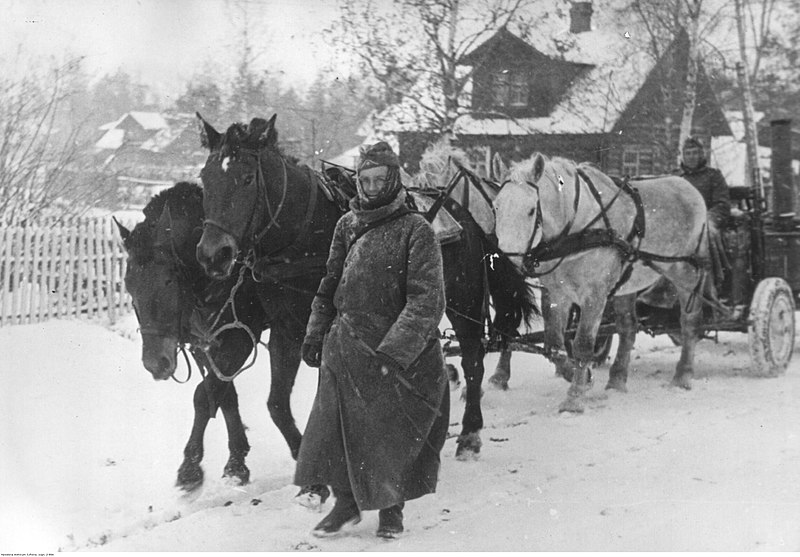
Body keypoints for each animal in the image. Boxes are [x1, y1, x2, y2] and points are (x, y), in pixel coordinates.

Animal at [194, 113, 536, 456]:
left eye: (248, 178)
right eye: (205, 180)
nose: (213, 254)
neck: (301, 237)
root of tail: (464, 214)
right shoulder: (287, 331)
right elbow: (277, 403)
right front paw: (301, 450)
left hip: (466, 302)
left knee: (473, 361)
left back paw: (469, 433)